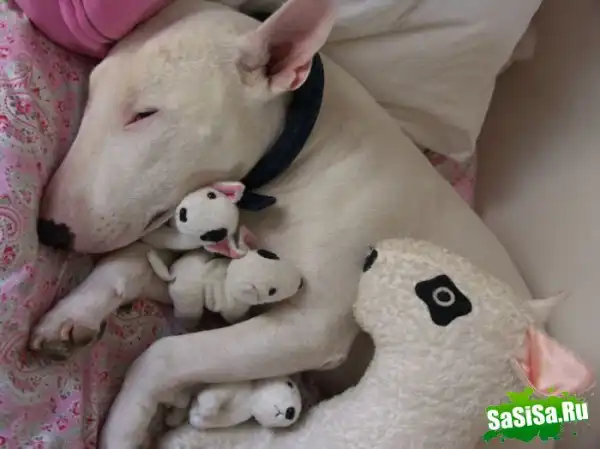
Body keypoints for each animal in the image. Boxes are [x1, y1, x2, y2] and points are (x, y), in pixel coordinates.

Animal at [33, 0, 530, 447]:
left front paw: (126, 425)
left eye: (145, 114)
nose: (49, 230)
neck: (300, 156)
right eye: (91, 95)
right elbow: (128, 266)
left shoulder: (311, 325)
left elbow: (165, 354)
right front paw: (69, 317)